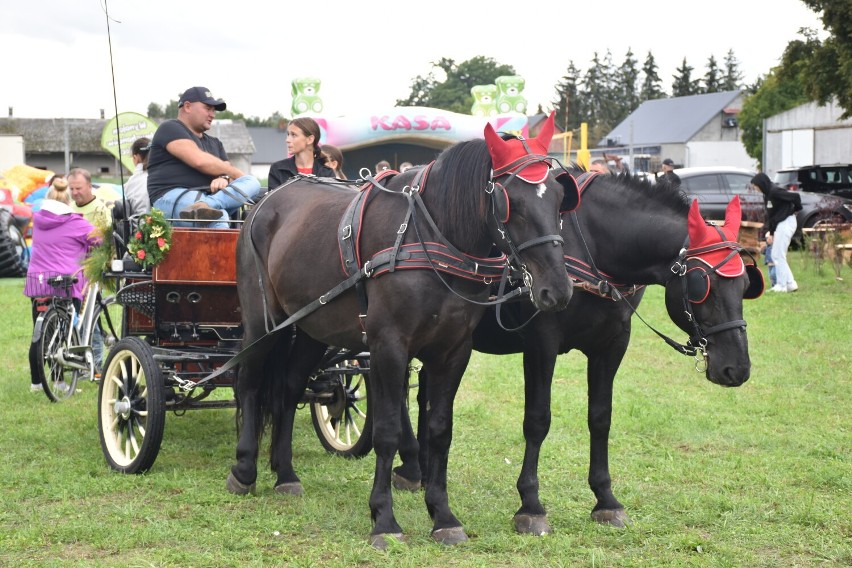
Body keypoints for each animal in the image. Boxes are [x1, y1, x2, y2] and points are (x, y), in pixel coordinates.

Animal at [230, 114, 584, 544]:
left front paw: (443, 516)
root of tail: (263, 203)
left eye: (559, 197)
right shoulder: (388, 346)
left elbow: (440, 429)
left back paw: (285, 474)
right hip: (263, 322)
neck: (430, 236)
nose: (558, 290)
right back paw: (244, 470)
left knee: (287, 387)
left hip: (312, 328)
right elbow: (386, 431)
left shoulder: (453, 351)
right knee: (250, 382)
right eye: (509, 202)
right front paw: (384, 518)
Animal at [396, 172, 764, 532]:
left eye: (747, 285)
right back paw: (411, 466)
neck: (592, 247)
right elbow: (537, 419)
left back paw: (423, 470)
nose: (737, 368)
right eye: (703, 284)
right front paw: (530, 505)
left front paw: (606, 499)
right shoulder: (541, 342)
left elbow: (600, 418)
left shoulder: (613, 344)